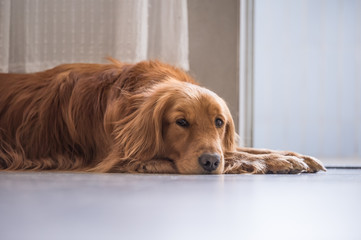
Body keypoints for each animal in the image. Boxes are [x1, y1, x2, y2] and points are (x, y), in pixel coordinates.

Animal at [0, 59, 326, 173]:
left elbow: (241, 148)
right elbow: (236, 154)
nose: (210, 163)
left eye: (219, 122)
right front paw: (277, 162)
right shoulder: (121, 157)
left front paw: (294, 156)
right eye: (181, 122)